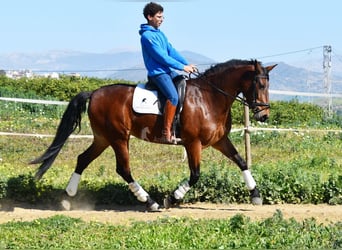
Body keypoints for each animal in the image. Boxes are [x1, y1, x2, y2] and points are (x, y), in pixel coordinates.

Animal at [31, 59, 278, 211]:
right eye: (259, 84)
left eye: (268, 85)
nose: (264, 115)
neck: (210, 98)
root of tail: (95, 92)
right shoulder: (193, 143)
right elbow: (195, 174)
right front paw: (172, 198)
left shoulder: (219, 140)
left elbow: (241, 161)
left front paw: (256, 195)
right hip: (119, 138)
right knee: (123, 169)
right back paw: (150, 202)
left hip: (103, 138)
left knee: (83, 159)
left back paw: (67, 198)